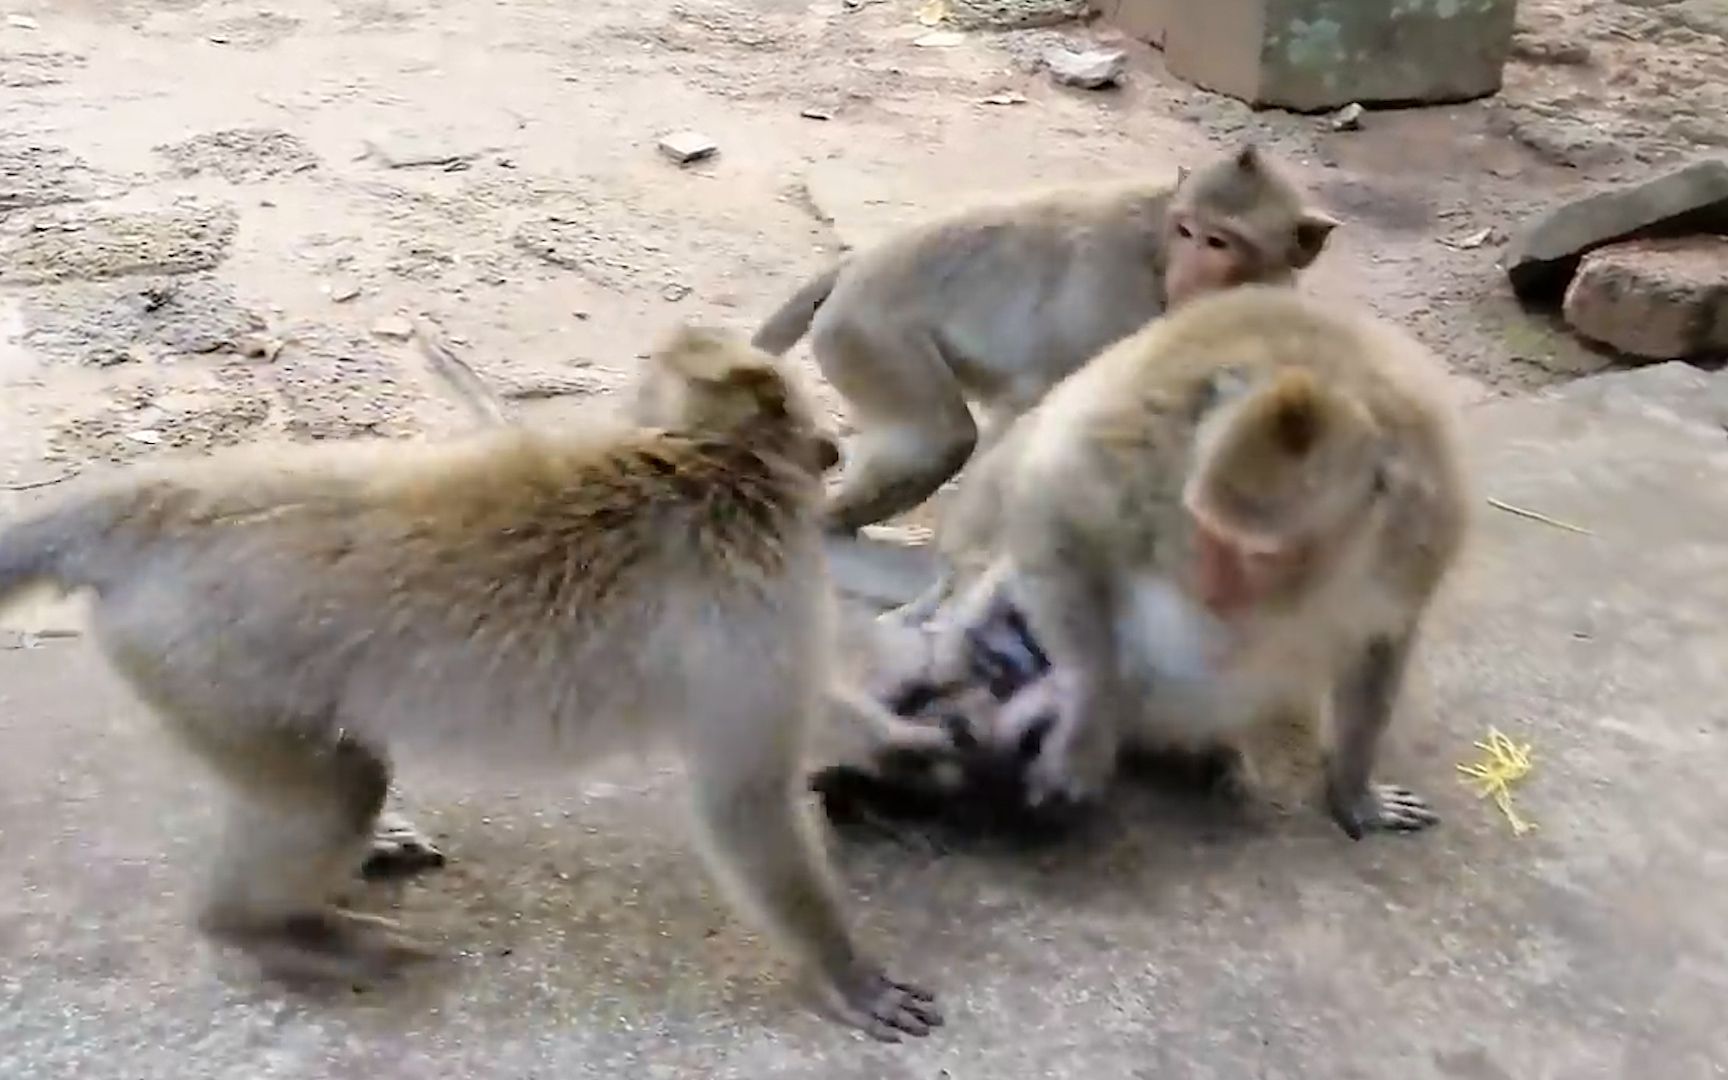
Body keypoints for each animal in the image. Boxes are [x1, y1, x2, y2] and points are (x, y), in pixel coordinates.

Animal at [0, 324, 946, 1043]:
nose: (830, 449)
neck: (703, 460)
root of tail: (148, 507)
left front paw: (913, 742)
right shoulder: (751, 593)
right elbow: (745, 797)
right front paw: (843, 969)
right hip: (206, 664)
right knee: (340, 791)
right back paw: (260, 928)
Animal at [753, 140, 1334, 535]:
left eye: (1219, 242)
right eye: (1188, 231)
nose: (1188, 273)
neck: (1158, 254)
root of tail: (857, 265)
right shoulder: (1112, 292)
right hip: (866, 331)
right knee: (944, 438)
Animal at [836, 286, 1472, 843]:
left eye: (1261, 556)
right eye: (1207, 531)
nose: (1215, 588)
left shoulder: (1422, 524)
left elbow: (1384, 638)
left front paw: (1354, 790)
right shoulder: (1149, 448)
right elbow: (1058, 500)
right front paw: (1086, 721)